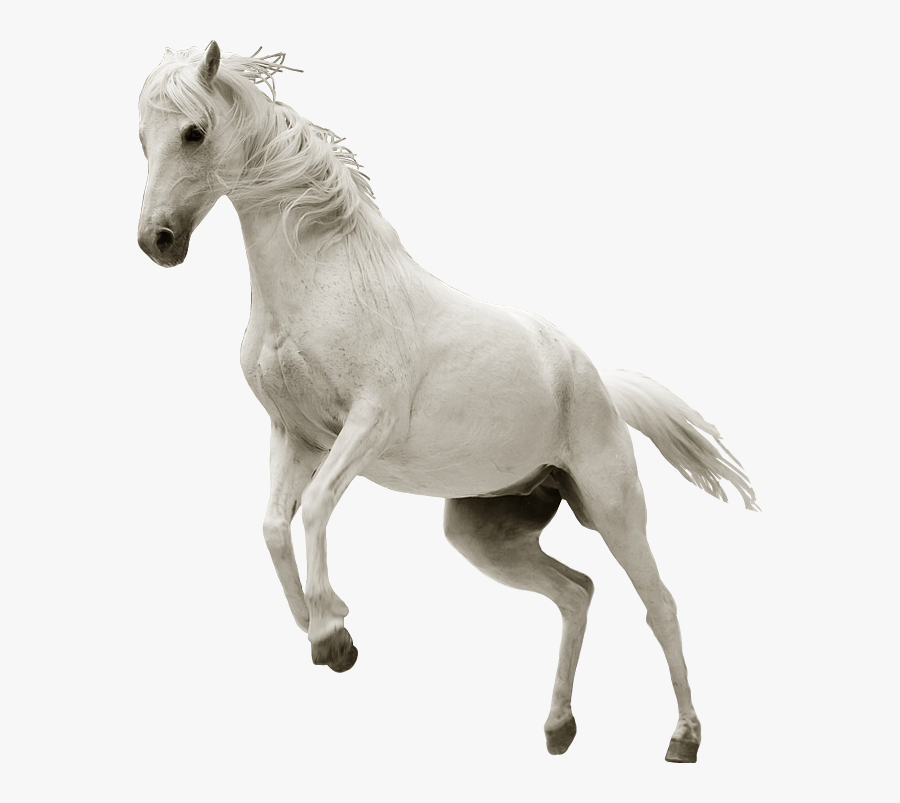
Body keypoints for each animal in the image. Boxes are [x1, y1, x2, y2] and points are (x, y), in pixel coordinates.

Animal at [137, 42, 758, 762]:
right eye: (141, 139)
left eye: (194, 132)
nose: (157, 241)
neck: (324, 279)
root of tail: (596, 379)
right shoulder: (295, 435)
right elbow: (271, 525)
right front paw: (316, 622)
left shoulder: (366, 425)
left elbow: (314, 508)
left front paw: (334, 636)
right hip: (483, 532)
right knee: (576, 593)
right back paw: (558, 726)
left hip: (613, 507)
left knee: (660, 604)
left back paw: (684, 737)